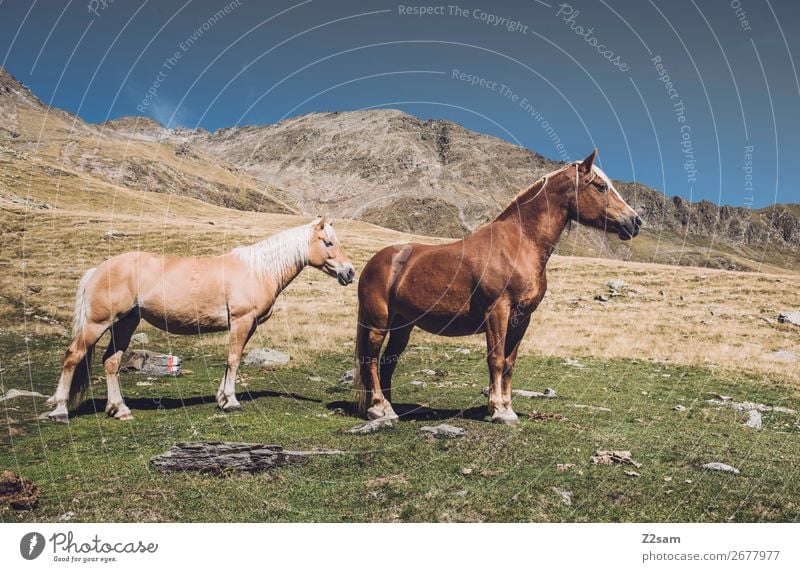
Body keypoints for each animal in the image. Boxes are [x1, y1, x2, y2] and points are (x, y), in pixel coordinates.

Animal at [45, 217, 354, 422]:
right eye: (328, 242)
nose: (349, 272)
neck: (257, 269)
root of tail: (98, 269)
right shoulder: (241, 321)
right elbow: (234, 359)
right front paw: (231, 402)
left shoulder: (247, 326)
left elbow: (232, 360)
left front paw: (222, 399)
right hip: (98, 323)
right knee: (73, 355)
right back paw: (60, 409)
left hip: (125, 323)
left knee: (111, 362)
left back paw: (119, 409)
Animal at [356, 151, 644, 424]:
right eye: (601, 186)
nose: (635, 222)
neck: (520, 243)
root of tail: (375, 263)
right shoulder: (498, 312)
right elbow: (495, 358)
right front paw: (498, 411)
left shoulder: (522, 319)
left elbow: (508, 362)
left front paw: (506, 406)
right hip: (378, 323)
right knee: (371, 359)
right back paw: (378, 408)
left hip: (402, 326)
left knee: (388, 362)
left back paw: (391, 409)